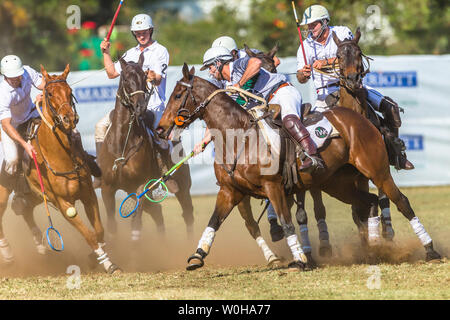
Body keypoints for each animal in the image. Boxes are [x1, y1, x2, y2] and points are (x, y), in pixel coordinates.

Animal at [0, 64, 119, 272]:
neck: (61, 157)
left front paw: (94, 256)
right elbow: (89, 234)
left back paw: (40, 246)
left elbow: (99, 230)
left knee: (25, 210)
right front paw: (107, 264)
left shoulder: (88, 194)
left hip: (34, 195)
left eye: (70, 91)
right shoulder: (63, 204)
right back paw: (7, 254)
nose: (68, 119)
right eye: (49, 93)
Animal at [96, 55, 195, 241]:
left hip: (182, 185)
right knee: (157, 213)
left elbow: (136, 224)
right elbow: (112, 225)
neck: (122, 142)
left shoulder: (142, 185)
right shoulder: (107, 188)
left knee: (187, 214)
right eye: (125, 79)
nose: (140, 107)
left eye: (144, 77)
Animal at [156, 63, 442, 272]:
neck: (238, 138)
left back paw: (430, 250)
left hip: (376, 169)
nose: (160, 128)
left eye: (178, 95)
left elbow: (286, 222)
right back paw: (374, 250)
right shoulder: (230, 190)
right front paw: (197, 256)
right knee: (370, 202)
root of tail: (364, 119)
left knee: (401, 201)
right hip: (337, 183)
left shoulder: (272, 187)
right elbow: (214, 221)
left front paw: (301, 260)